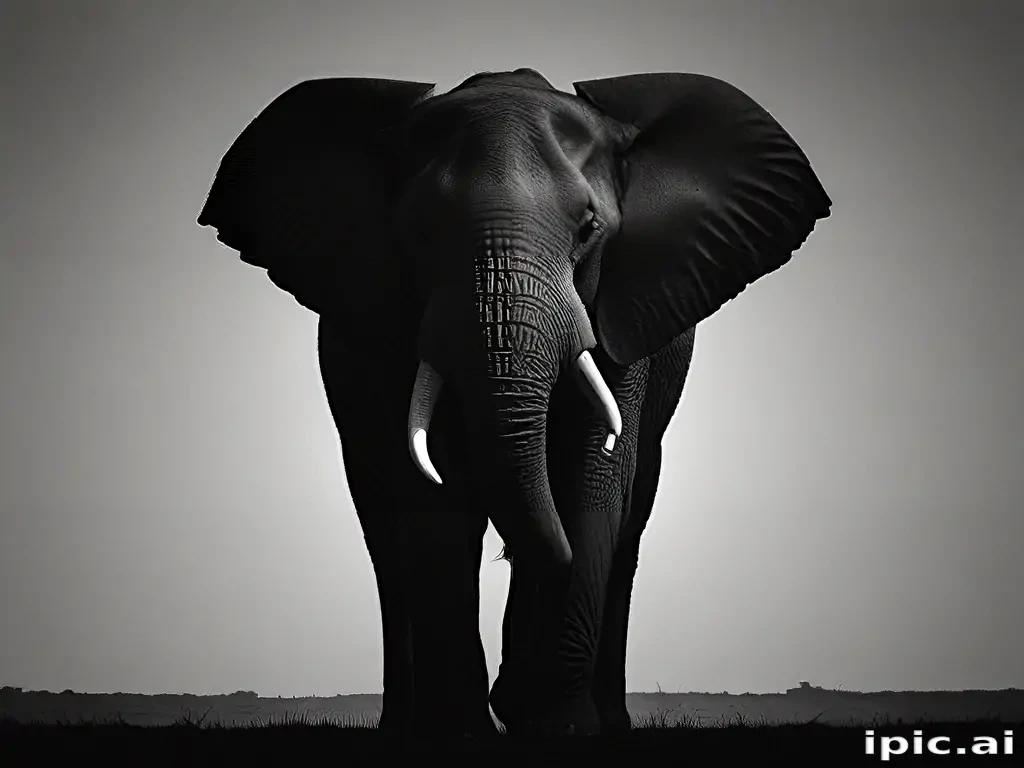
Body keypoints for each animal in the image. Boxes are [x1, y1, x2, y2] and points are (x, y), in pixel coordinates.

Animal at [196, 68, 831, 737]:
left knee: (628, 527)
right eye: (417, 233)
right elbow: (435, 499)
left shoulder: (624, 311)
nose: (511, 686)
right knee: (385, 540)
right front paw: (467, 732)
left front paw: (558, 723)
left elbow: (593, 477)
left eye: (588, 229)